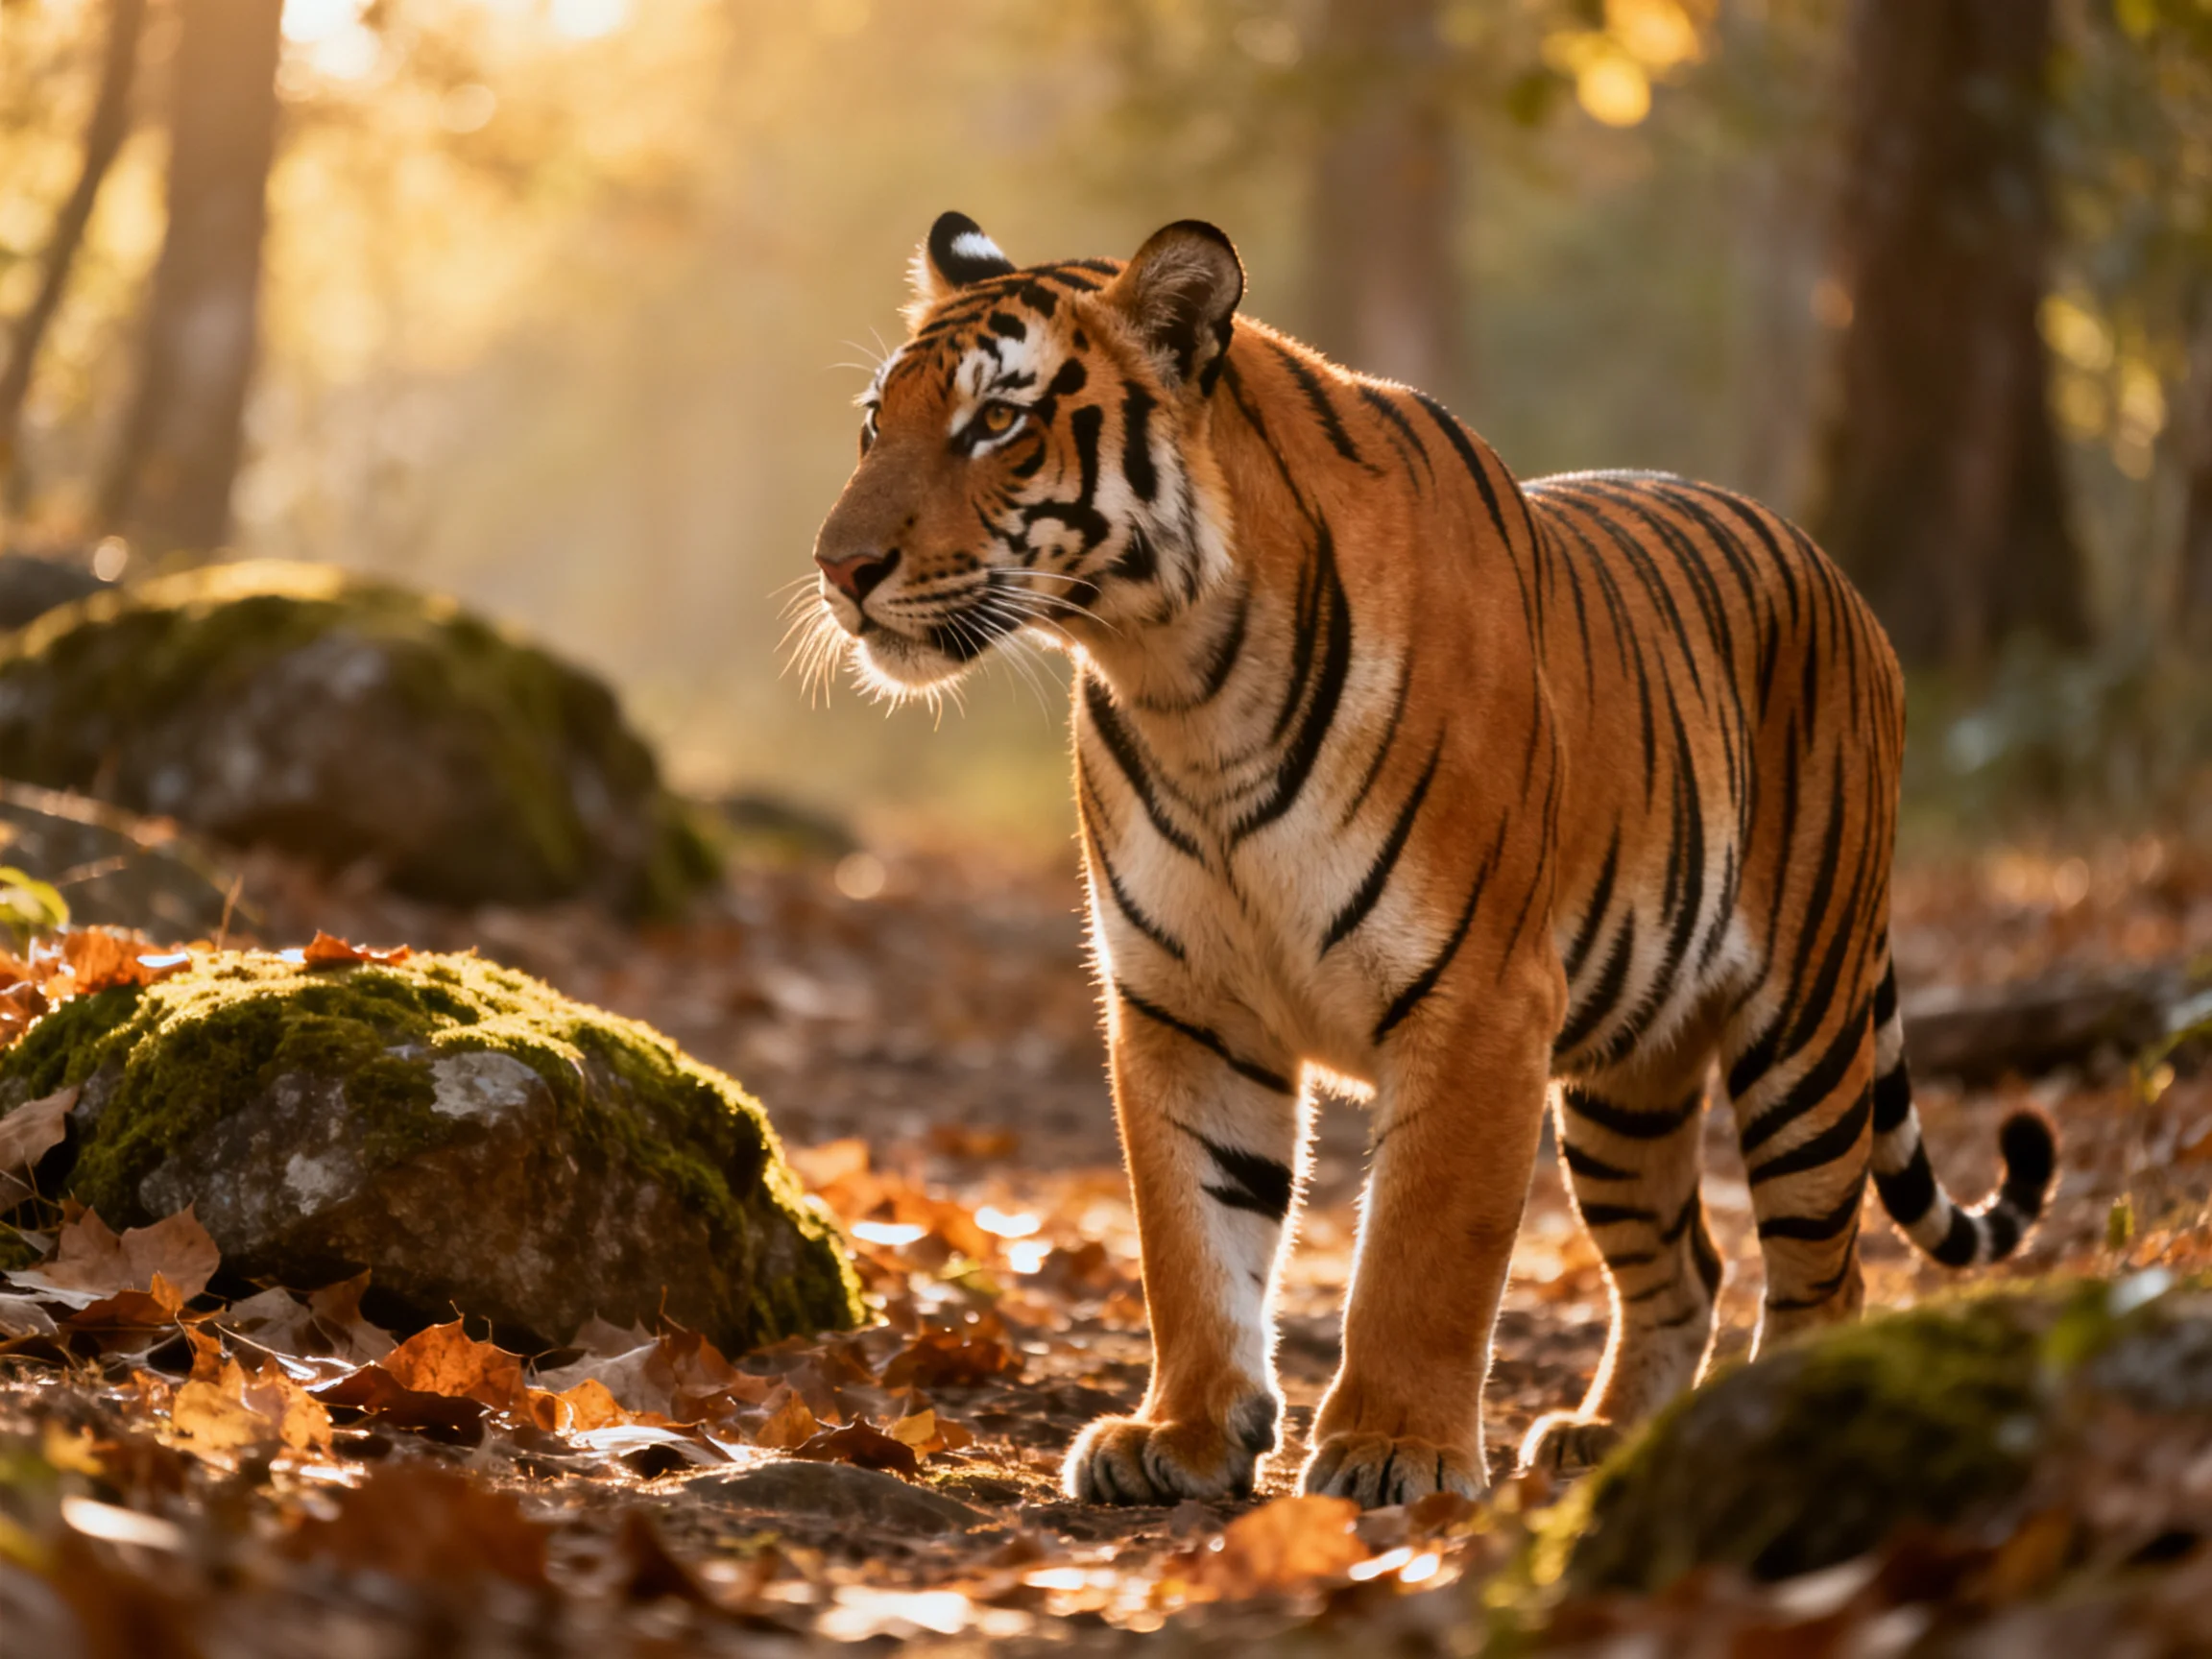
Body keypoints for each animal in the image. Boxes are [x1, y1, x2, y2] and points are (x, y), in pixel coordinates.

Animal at [805, 212, 2057, 1507]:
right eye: (874, 423)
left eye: (998, 422)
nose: (837, 566)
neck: (1183, 684)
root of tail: (1837, 577)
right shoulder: (1185, 1005)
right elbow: (1192, 1235)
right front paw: (1185, 1433)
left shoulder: (1478, 1003)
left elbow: (1422, 1253)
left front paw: (1392, 1448)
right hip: (1628, 1082)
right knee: (1685, 1265)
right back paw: (1607, 1435)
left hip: (1804, 1027)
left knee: (1824, 1267)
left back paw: (1773, 1426)